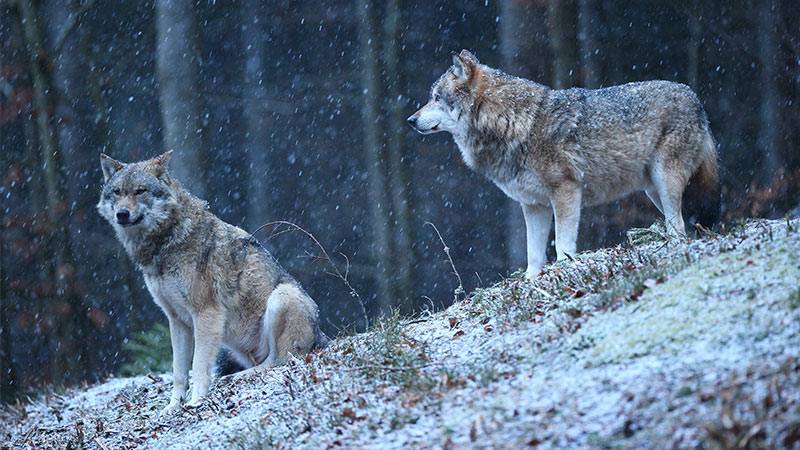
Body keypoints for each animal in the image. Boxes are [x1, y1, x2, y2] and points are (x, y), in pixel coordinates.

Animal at [97, 152, 324, 414]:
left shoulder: (206, 314)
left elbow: (198, 366)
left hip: (281, 297)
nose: (122, 214)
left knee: (278, 361)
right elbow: (179, 372)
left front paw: (196, 402)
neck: (166, 241)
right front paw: (173, 407)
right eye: (117, 192)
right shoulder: (176, 320)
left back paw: (236, 377)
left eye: (140, 191)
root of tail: (321, 337)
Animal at [406, 51, 720, 280]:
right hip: (653, 190)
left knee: (679, 227)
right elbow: (533, 253)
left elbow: (564, 242)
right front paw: (531, 281)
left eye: (436, 98)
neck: (512, 122)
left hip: (665, 181)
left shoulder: (566, 191)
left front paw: (565, 268)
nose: (410, 120)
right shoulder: (533, 205)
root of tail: (695, 97)